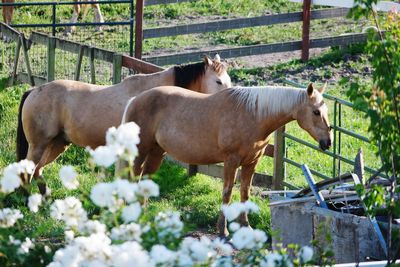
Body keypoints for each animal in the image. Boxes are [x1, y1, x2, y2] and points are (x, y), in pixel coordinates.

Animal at [17, 55, 231, 196]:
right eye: (218, 81)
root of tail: (34, 90)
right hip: (39, 145)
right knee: (27, 171)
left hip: (56, 144)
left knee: (37, 170)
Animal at [121, 83, 332, 237]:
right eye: (315, 112)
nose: (327, 142)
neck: (253, 115)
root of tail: (134, 100)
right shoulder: (231, 161)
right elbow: (228, 193)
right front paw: (223, 230)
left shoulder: (251, 163)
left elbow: (245, 193)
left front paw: (245, 226)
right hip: (140, 152)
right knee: (132, 179)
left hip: (157, 153)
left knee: (144, 180)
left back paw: (144, 213)